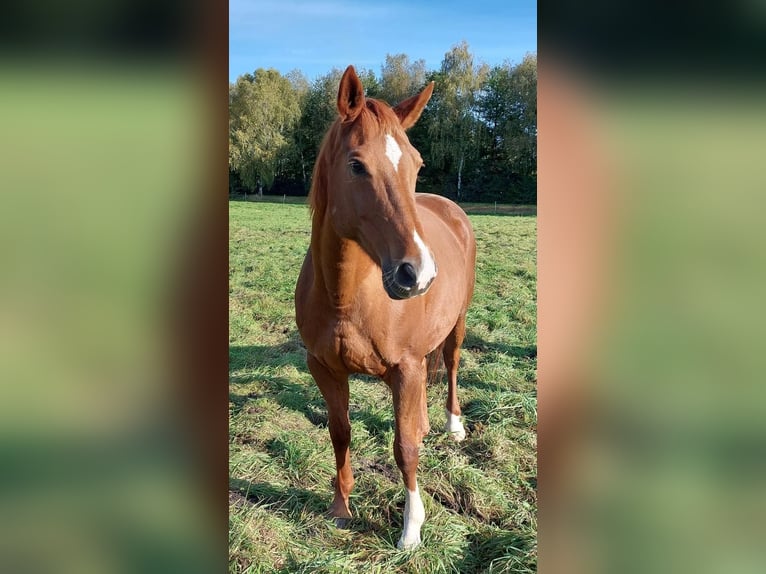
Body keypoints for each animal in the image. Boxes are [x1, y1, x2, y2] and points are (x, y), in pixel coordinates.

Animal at [296, 65, 476, 552]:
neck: (346, 297)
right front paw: (340, 507)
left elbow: (405, 447)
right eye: (356, 165)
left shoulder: (405, 369)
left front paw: (411, 529)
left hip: (457, 324)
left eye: (416, 165)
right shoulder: (324, 367)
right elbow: (340, 432)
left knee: (451, 364)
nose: (418, 273)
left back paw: (453, 425)